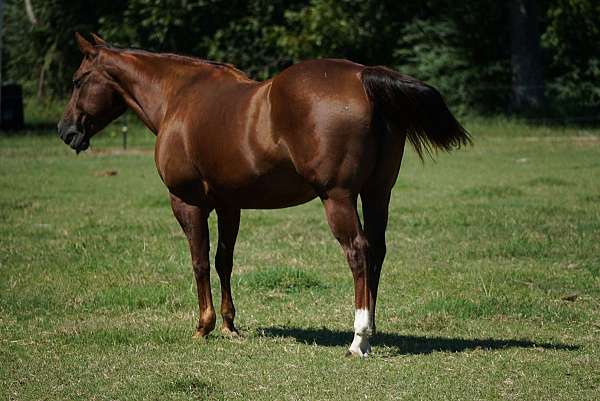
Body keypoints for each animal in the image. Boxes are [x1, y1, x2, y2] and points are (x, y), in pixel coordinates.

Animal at [57, 32, 468, 354]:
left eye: (77, 80)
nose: (65, 131)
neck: (179, 97)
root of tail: (362, 76)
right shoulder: (229, 205)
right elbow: (224, 260)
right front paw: (228, 324)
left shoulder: (187, 203)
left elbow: (199, 261)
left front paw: (203, 326)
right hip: (378, 193)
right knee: (378, 251)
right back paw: (373, 332)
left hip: (338, 198)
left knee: (358, 252)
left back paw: (358, 338)